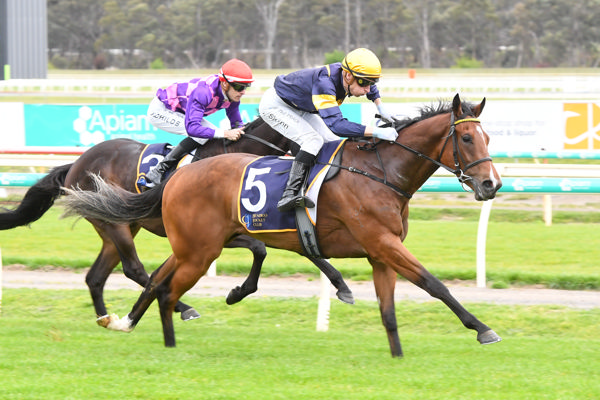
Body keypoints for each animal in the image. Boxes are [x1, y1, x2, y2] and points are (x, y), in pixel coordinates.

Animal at [0, 117, 354, 326]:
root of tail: (76, 163)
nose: (327, 155)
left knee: (96, 276)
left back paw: (105, 317)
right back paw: (183, 308)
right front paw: (237, 292)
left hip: (120, 224)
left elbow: (306, 249)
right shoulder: (220, 232)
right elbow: (260, 249)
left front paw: (342, 285)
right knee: (133, 268)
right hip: (115, 226)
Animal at [62, 94, 502, 356]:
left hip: (186, 244)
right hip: (178, 243)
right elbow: (433, 283)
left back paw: (122, 321)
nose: (491, 184)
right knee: (147, 275)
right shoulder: (381, 242)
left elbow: (388, 308)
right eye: (465, 139)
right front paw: (482, 328)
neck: (380, 172)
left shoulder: (379, 250)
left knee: (150, 278)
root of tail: (177, 178)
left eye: (487, 138)